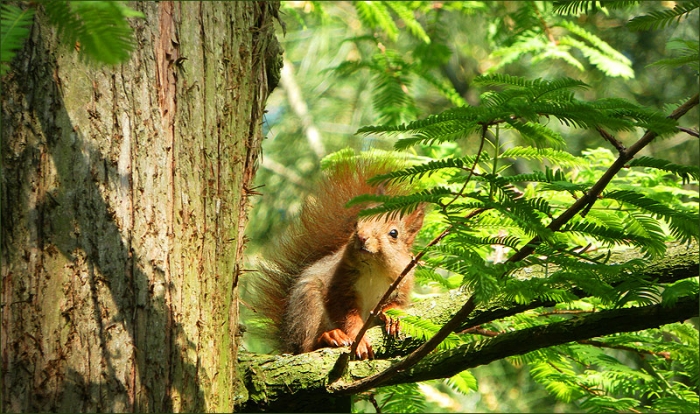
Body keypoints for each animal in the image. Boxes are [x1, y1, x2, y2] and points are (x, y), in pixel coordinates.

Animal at [251, 157, 425, 359]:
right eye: (356, 223)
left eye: (394, 233)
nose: (362, 237)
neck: (375, 269)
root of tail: (287, 342)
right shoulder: (340, 285)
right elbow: (346, 315)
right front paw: (359, 339)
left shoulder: (402, 284)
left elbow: (398, 304)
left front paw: (392, 316)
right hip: (307, 306)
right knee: (306, 347)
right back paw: (329, 337)